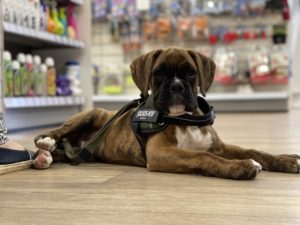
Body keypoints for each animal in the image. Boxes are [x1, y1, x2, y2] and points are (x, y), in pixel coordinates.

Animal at [33, 47, 300, 179]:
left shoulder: (219, 147)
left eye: (191, 73)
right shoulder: (161, 153)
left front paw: (286, 160)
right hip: (92, 114)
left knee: (60, 153)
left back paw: (45, 158)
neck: (186, 119)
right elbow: (203, 157)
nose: (177, 87)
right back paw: (46, 144)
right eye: (159, 73)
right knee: (53, 132)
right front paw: (241, 167)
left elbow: (255, 151)